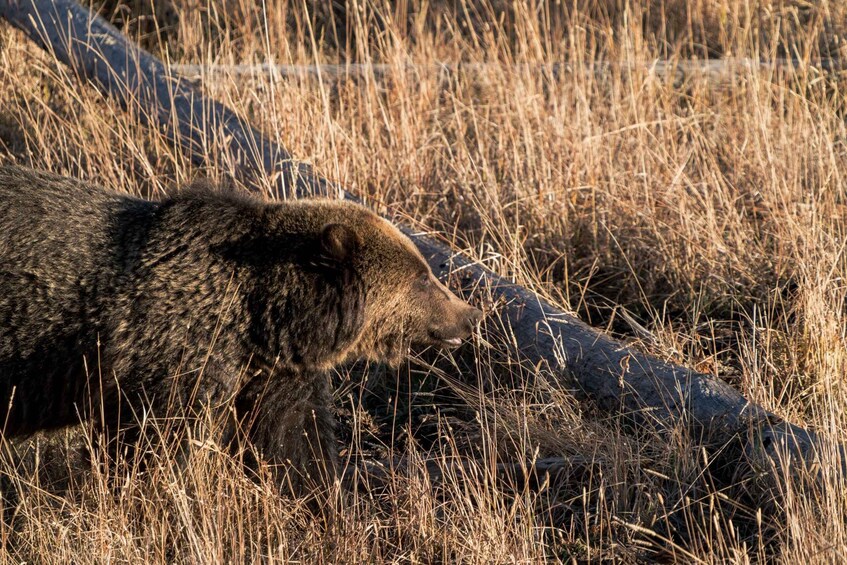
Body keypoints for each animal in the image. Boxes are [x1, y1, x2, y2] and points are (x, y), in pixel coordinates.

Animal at [0, 164, 481, 494]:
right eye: (423, 277)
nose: (470, 314)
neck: (260, 317)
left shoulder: (274, 373)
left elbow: (295, 443)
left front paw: (327, 507)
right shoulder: (168, 356)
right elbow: (143, 448)